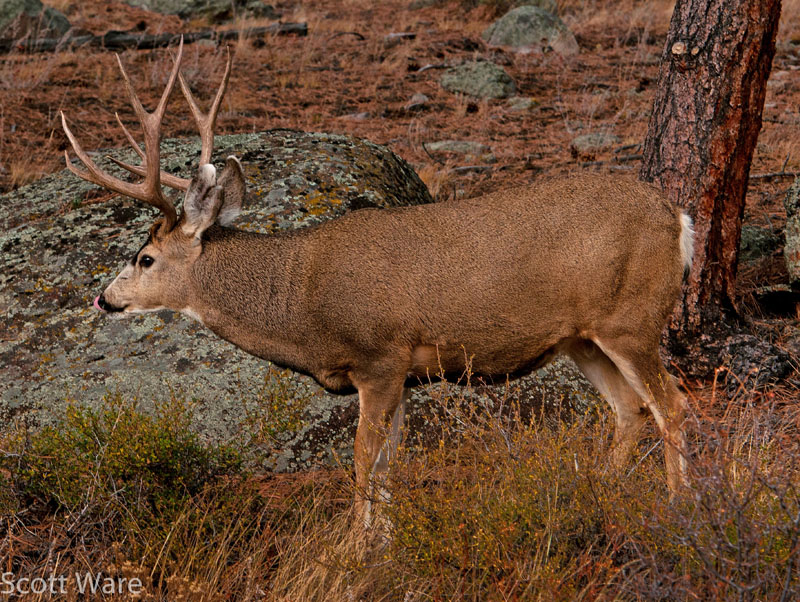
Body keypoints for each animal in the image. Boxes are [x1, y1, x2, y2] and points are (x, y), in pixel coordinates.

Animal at [61, 40, 694, 529]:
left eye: (144, 258)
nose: (104, 298)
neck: (300, 300)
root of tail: (678, 218)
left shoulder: (380, 358)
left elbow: (365, 463)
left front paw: (352, 551)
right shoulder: (403, 376)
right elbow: (388, 464)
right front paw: (381, 544)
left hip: (632, 320)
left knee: (673, 404)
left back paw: (679, 508)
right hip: (581, 338)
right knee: (630, 409)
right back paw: (595, 496)